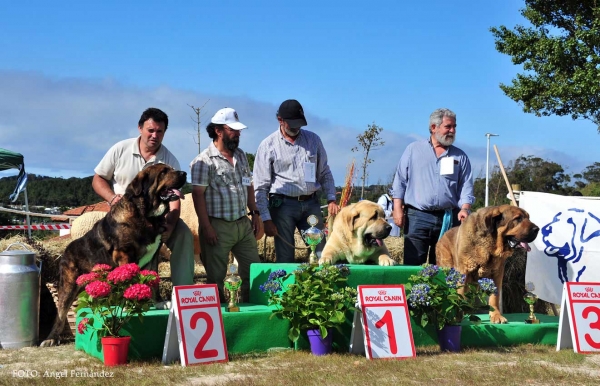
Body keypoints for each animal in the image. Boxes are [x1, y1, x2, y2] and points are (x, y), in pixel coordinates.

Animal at [40, 164, 185, 346]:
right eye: (163, 172)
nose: (184, 173)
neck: (146, 215)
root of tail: (66, 250)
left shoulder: (154, 256)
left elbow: (154, 281)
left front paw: (158, 302)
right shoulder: (124, 255)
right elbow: (131, 281)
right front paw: (130, 303)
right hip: (68, 284)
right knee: (61, 312)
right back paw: (51, 339)